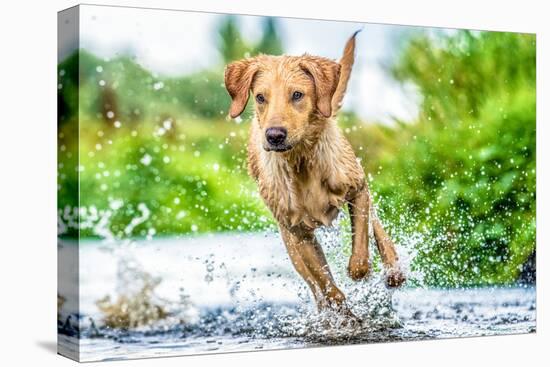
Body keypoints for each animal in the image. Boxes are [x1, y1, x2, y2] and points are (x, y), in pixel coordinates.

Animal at [223, 32, 406, 320]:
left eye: (297, 94)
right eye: (261, 97)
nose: (274, 135)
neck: (301, 162)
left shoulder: (357, 189)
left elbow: (360, 251)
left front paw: (360, 272)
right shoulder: (298, 233)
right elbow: (326, 285)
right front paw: (342, 314)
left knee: (376, 225)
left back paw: (393, 269)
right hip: (290, 243)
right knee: (314, 284)